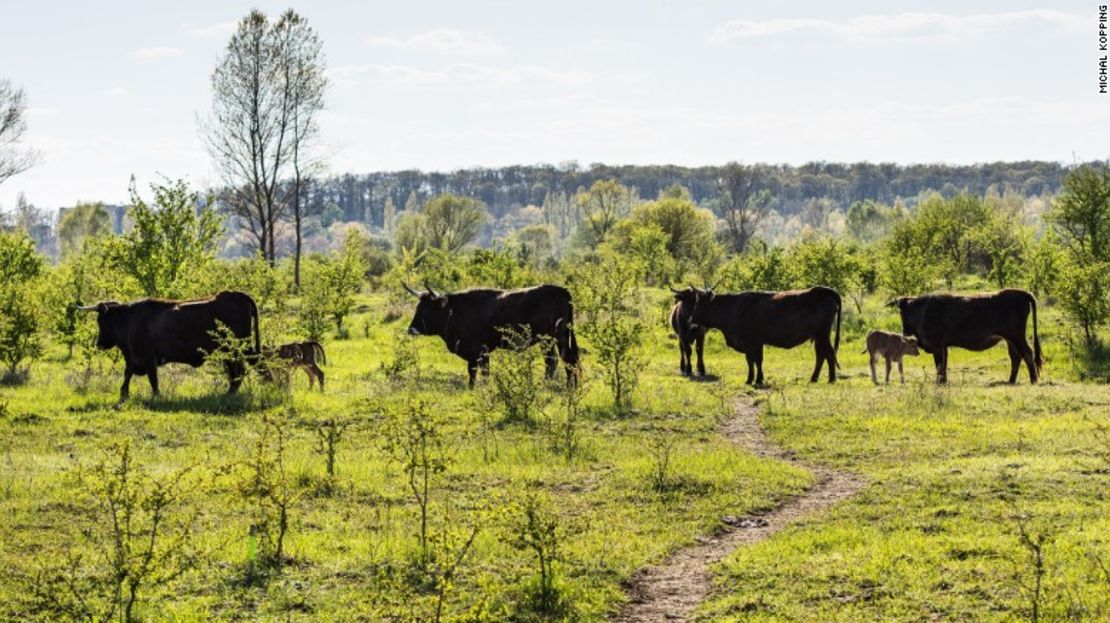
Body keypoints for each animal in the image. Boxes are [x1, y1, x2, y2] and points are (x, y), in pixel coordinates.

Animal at [79, 288, 260, 399]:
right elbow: (128, 373)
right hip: (230, 351)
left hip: (237, 348)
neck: (129, 318)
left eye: (101, 321)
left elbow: (152, 378)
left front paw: (156, 396)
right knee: (237, 370)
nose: (100, 344)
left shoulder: (147, 357)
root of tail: (236, 294)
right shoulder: (133, 357)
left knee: (241, 369)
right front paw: (124, 393)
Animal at [406, 280, 581, 386]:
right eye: (418, 307)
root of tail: (560, 290)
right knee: (562, 359)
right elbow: (475, 371)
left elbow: (479, 371)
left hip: (553, 338)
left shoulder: (480, 350)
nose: (410, 329)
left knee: (558, 360)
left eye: (426, 309)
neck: (455, 310)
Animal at [679, 286, 843, 384]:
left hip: (822, 334)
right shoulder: (757, 342)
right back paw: (814, 378)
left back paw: (831, 379)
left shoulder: (750, 342)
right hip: (819, 336)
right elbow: (756, 361)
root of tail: (823, 290)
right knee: (822, 355)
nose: (691, 320)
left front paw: (751, 379)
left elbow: (752, 360)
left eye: (699, 304)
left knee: (828, 354)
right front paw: (758, 379)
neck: (733, 307)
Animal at [888, 288, 1043, 384]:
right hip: (1010, 339)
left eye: (901, 311)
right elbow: (943, 365)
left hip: (1017, 336)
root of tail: (1022, 293)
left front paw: (938, 382)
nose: (905, 330)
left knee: (1027, 353)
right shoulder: (943, 347)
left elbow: (939, 365)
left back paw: (1033, 380)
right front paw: (943, 382)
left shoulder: (937, 346)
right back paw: (1011, 380)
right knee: (1016, 357)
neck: (923, 309)